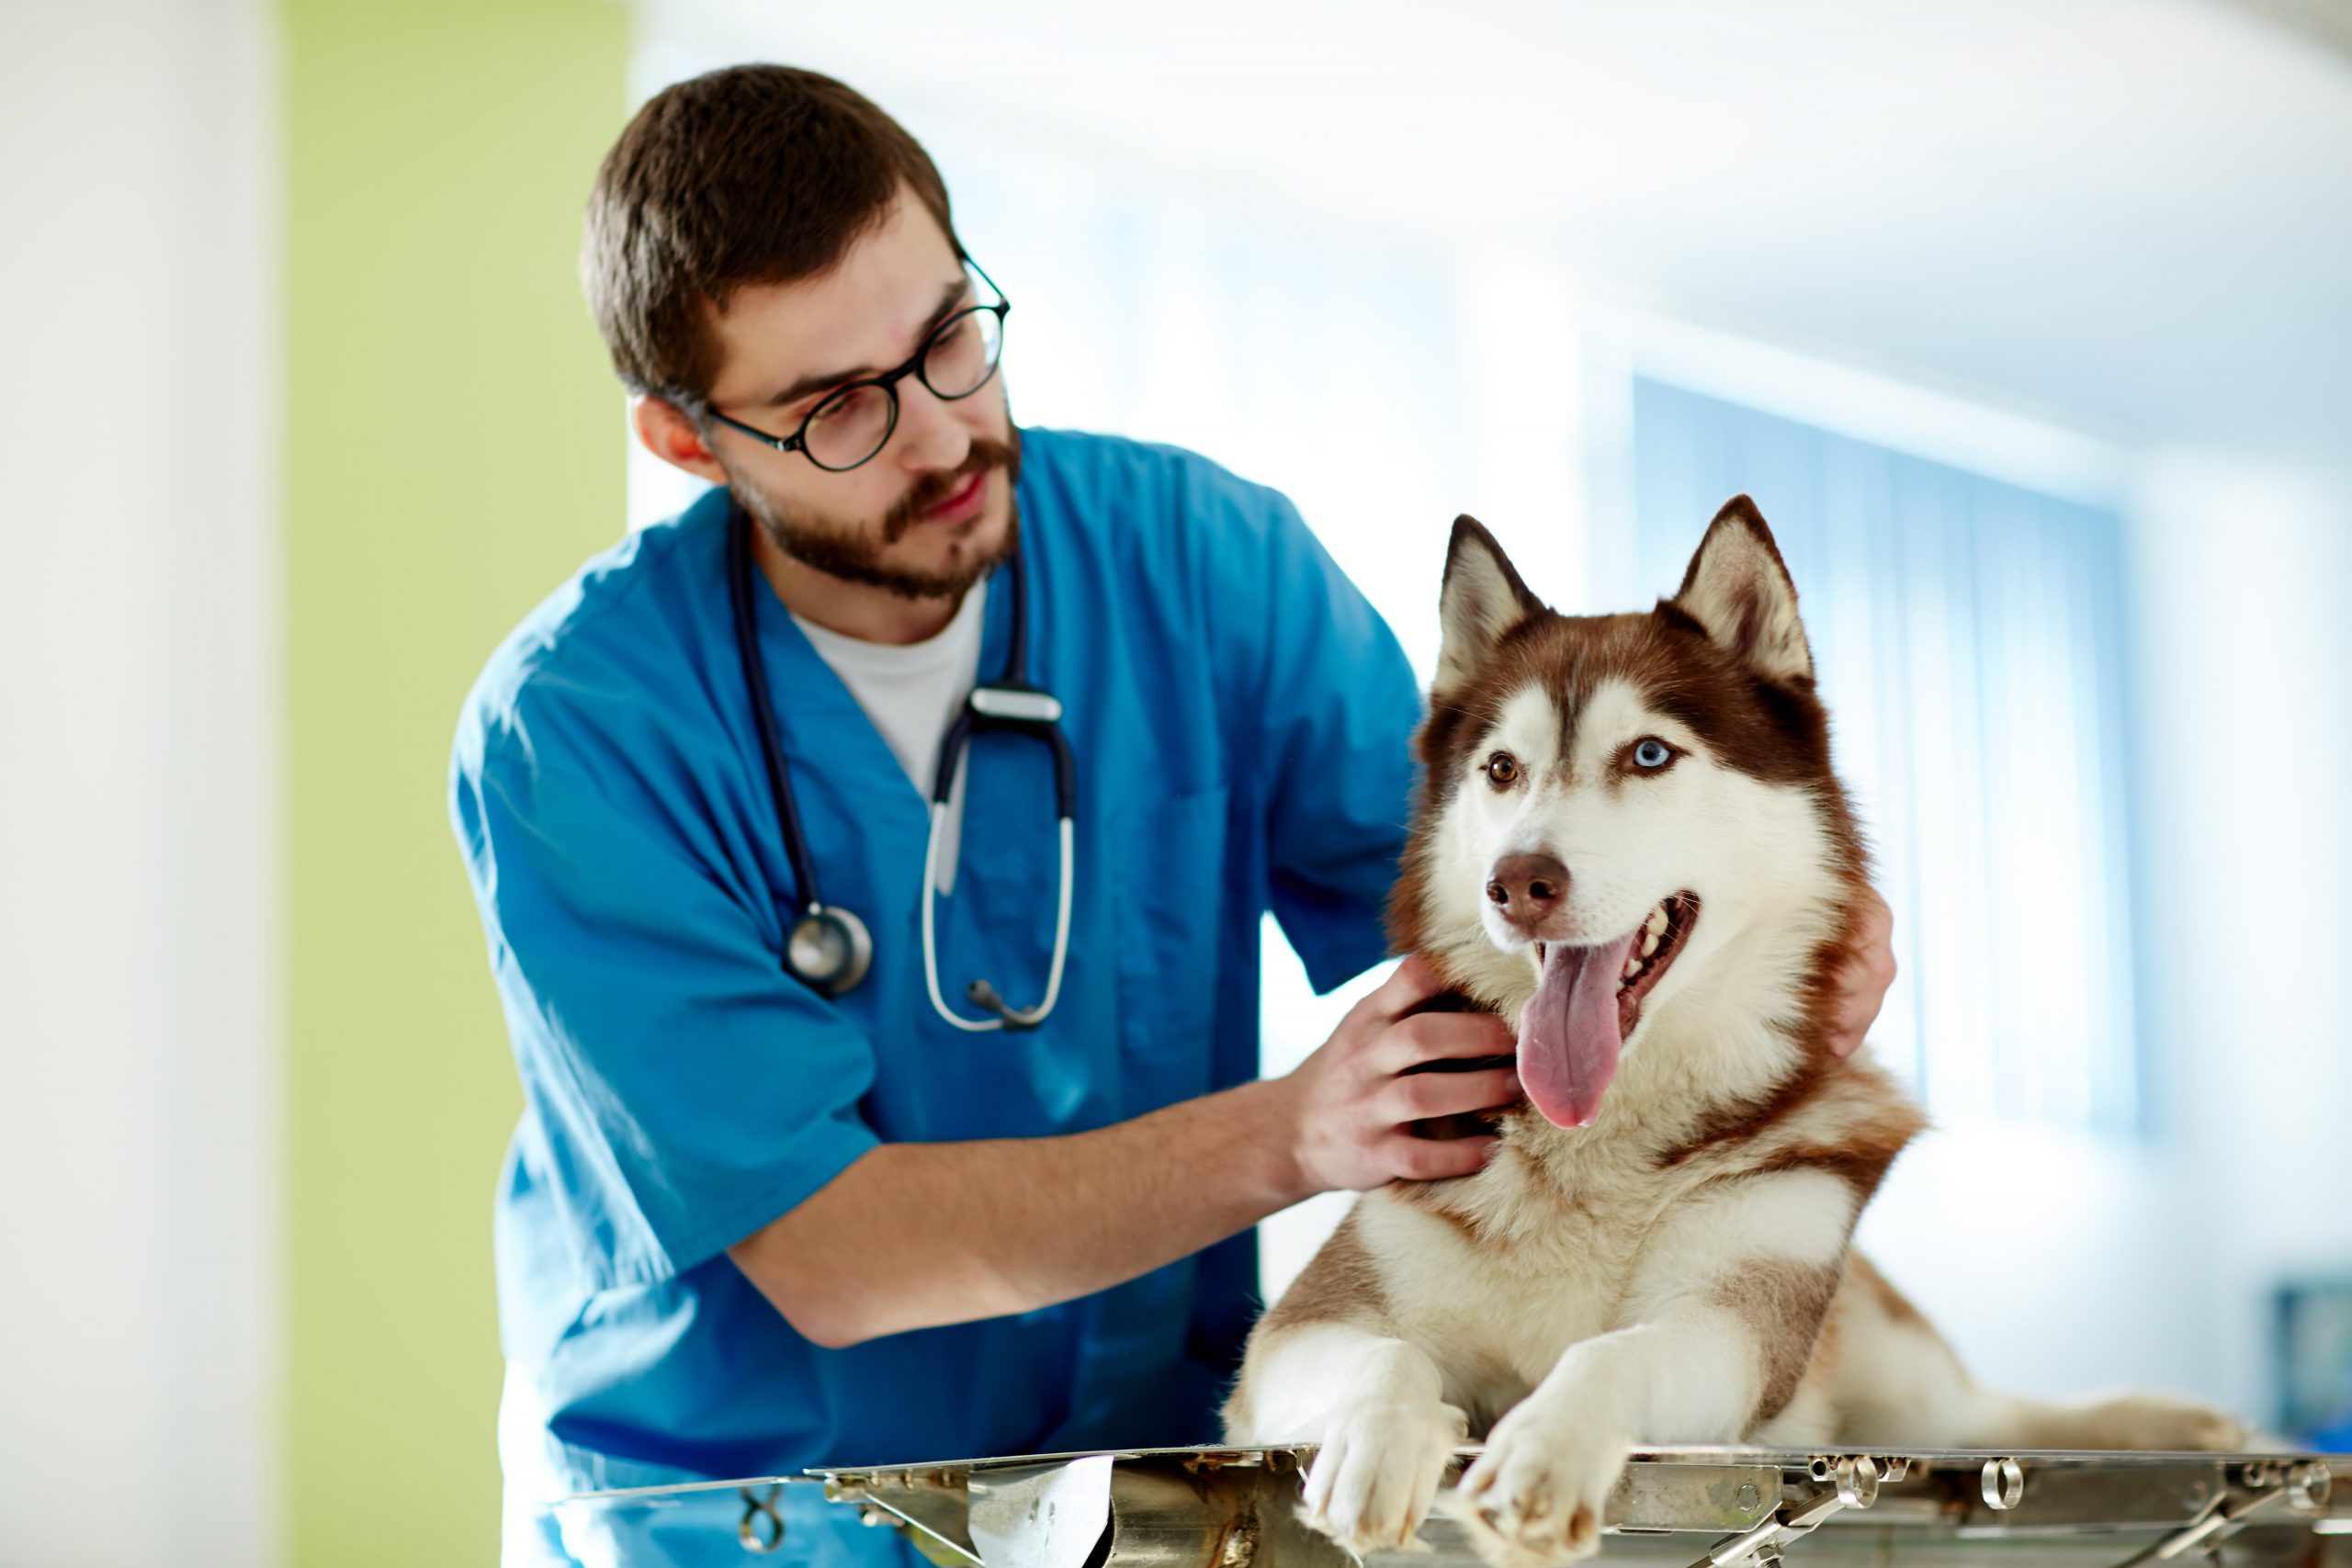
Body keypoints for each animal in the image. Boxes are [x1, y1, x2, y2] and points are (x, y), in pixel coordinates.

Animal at [1232, 502, 2239, 1568]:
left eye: (1647, 754)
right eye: (1500, 769)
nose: (1517, 881)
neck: (1595, 1144)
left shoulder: (1736, 1326)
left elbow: (1611, 1352)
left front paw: (1547, 1447)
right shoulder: (1299, 1332)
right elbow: (1383, 1356)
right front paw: (1375, 1443)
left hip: (1883, 1361)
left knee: (1988, 1413)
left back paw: (2170, 1418)